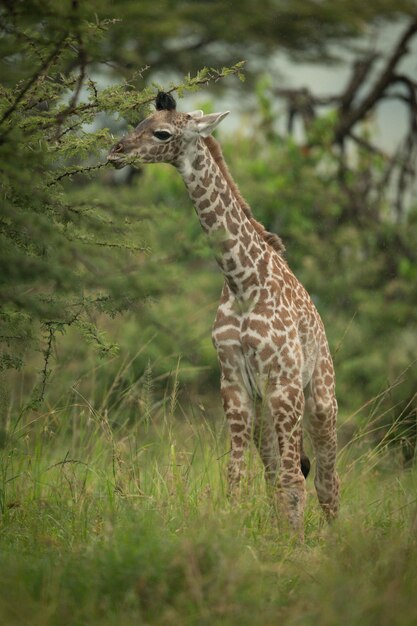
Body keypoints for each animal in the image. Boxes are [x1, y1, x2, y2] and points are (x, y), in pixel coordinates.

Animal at [109, 92, 340, 536]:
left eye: (162, 133)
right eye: (140, 121)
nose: (116, 151)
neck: (242, 281)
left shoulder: (284, 384)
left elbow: (294, 479)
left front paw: (298, 545)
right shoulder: (234, 382)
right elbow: (238, 473)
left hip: (320, 395)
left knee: (325, 479)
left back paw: (328, 538)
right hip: (266, 407)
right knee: (275, 470)